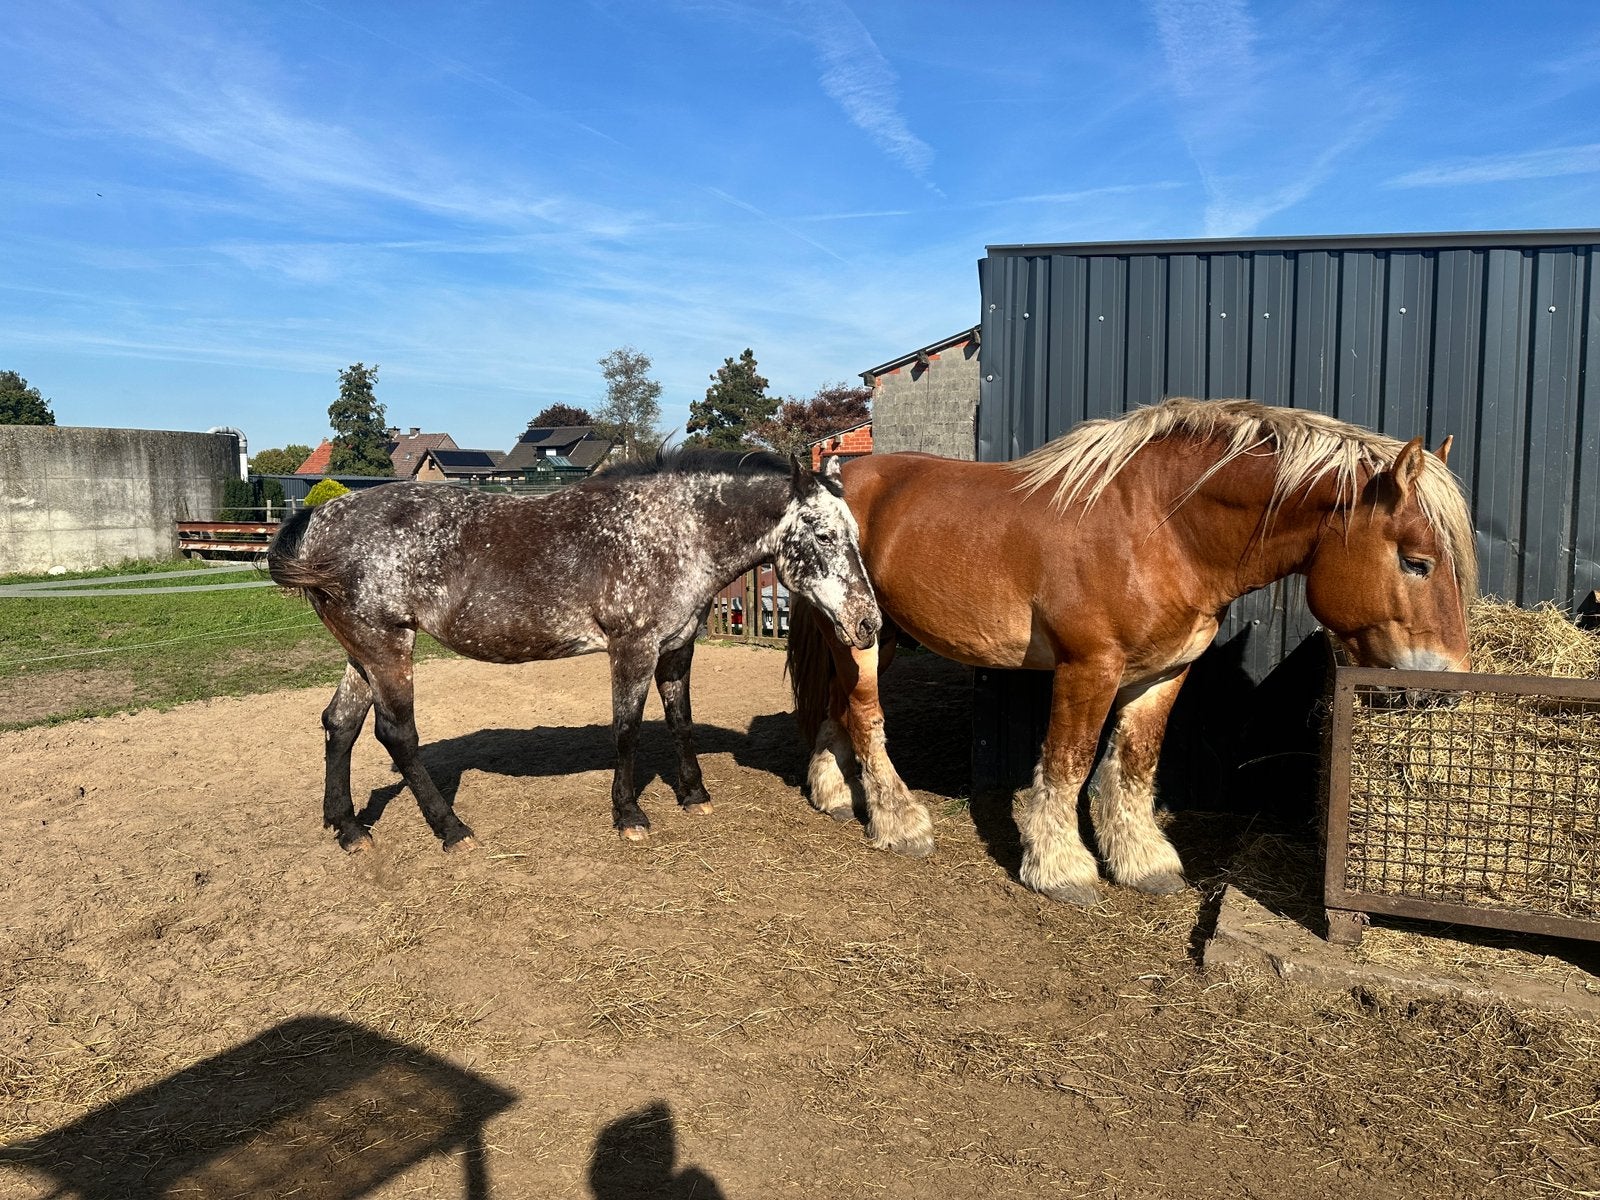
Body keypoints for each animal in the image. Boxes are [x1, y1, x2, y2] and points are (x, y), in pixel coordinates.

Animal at [268, 452, 880, 853]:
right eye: (823, 535)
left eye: (854, 533)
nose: (867, 623)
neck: (671, 532)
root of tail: (320, 520)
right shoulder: (632, 648)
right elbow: (626, 729)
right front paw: (629, 814)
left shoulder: (676, 648)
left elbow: (680, 721)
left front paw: (695, 794)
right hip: (388, 648)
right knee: (396, 735)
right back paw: (451, 830)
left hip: (363, 654)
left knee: (340, 724)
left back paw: (349, 829)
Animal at [788, 397, 1477, 905]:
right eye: (1416, 562)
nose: (1444, 687)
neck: (1160, 528)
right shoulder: (1089, 668)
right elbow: (1068, 764)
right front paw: (1061, 869)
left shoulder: (1164, 673)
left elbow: (1135, 764)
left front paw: (1142, 861)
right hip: (864, 639)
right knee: (867, 717)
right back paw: (899, 822)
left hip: (869, 633)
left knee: (839, 708)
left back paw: (833, 795)